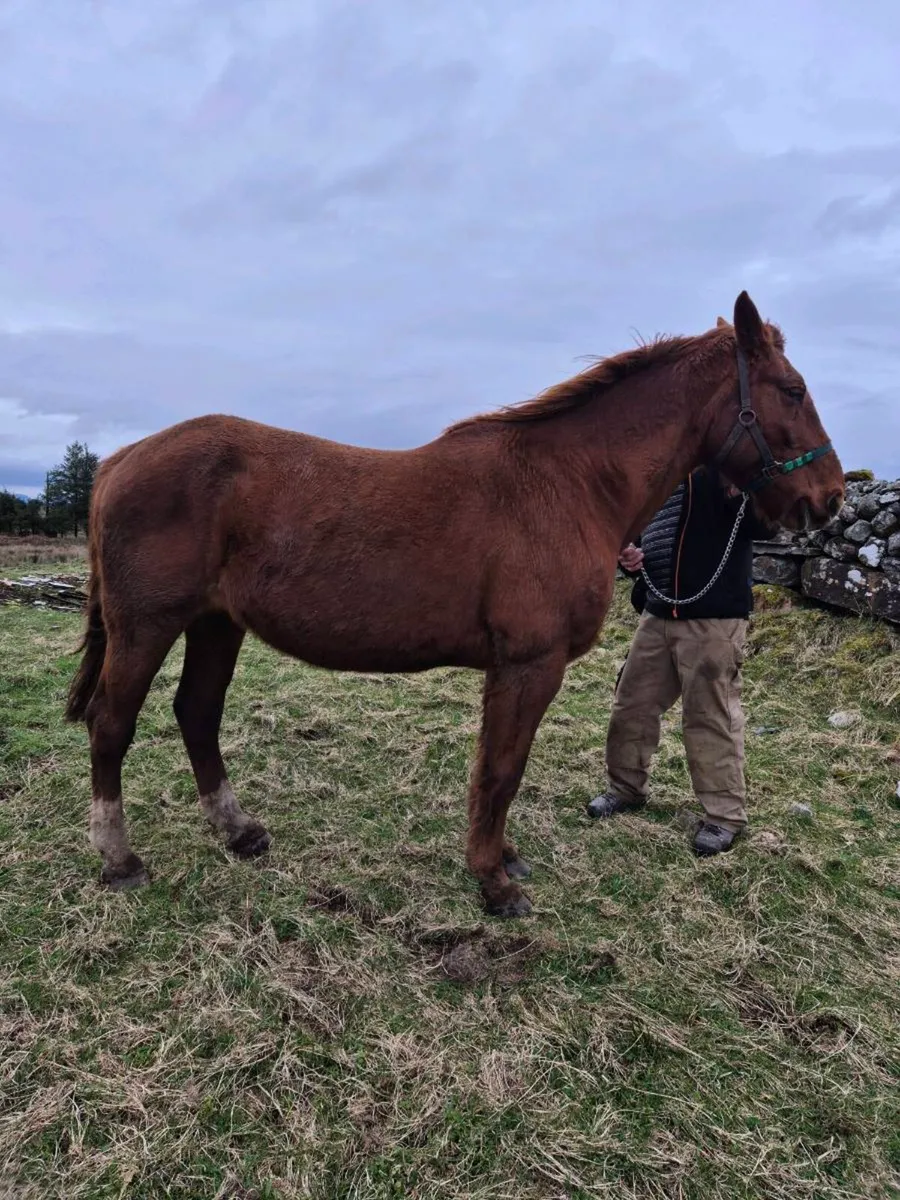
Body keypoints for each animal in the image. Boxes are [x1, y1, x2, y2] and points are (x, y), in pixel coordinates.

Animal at [66, 291, 844, 917]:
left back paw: (239, 832)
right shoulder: (528, 665)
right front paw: (493, 883)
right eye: (792, 388)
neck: (568, 484)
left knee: (196, 715)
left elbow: (500, 771)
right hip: (148, 627)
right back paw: (120, 860)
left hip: (215, 625)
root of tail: (121, 460)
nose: (829, 498)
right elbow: (501, 771)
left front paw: (504, 860)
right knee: (111, 726)